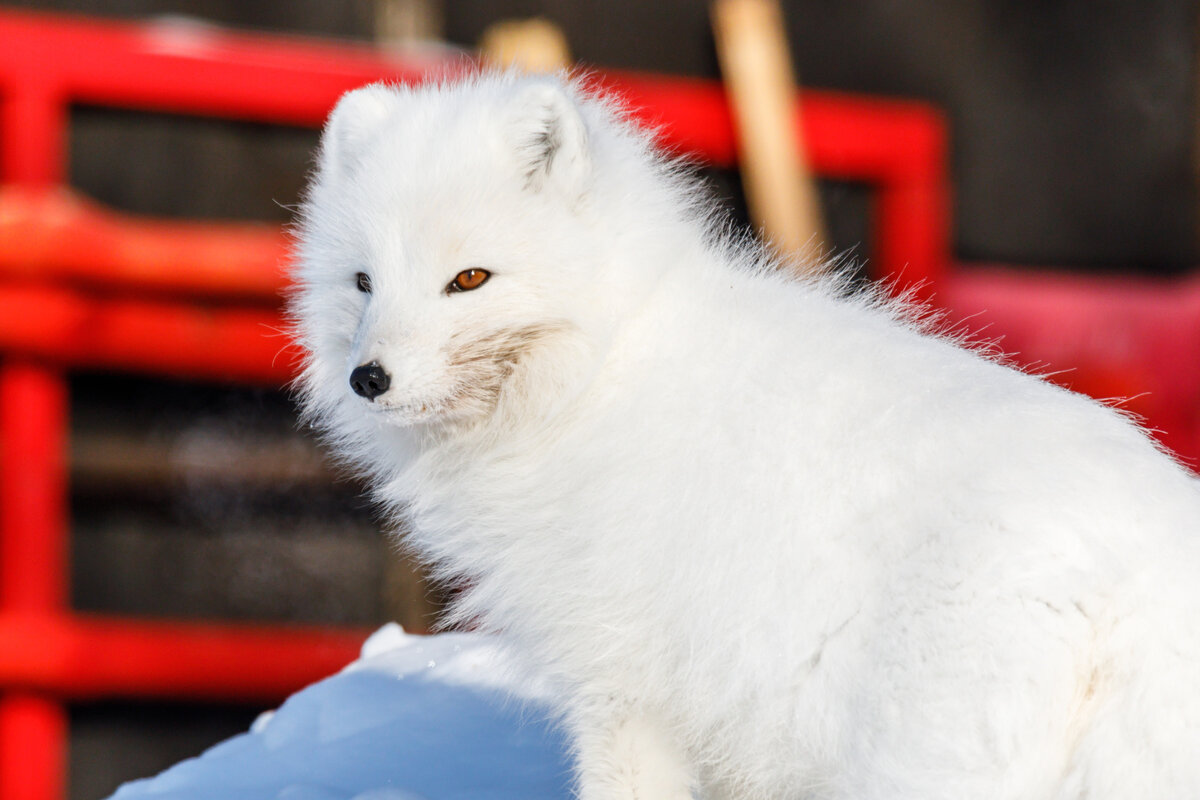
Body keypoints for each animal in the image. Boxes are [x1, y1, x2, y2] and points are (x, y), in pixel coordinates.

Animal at [290, 71, 1200, 796]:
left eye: (469, 279)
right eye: (363, 282)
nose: (368, 379)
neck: (602, 373)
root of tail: (1143, 574)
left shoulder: (623, 687)